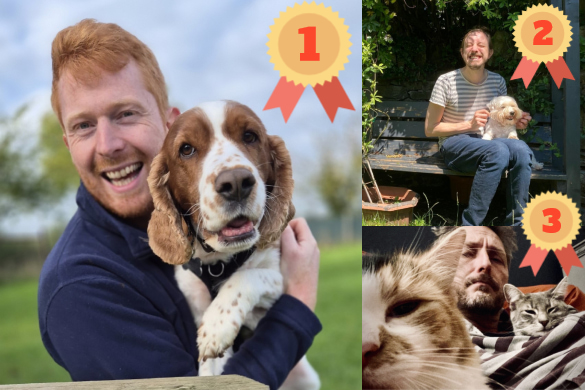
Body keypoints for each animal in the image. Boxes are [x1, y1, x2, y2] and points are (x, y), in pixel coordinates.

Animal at [146, 101, 320, 390]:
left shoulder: (281, 280)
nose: (236, 183)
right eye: (186, 149)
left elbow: (247, 277)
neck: (218, 262)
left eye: (250, 136)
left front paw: (217, 324)